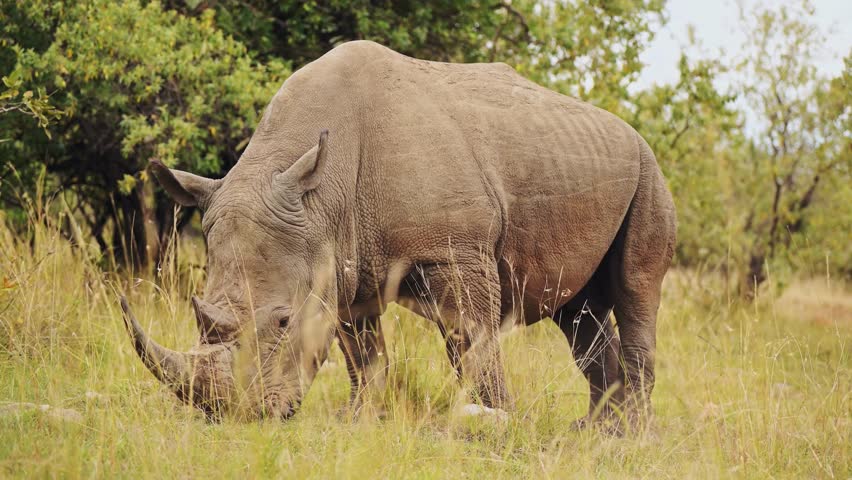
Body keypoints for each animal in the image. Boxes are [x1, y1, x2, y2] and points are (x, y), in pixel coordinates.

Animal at [120, 41, 676, 427]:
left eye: (282, 321)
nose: (236, 417)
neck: (320, 192)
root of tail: (628, 128)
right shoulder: (339, 261)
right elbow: (362, 353)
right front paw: (360, 420)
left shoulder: (454, 252)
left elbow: (472, 339)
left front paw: (500, 422)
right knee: (577, 313)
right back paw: (594, 430)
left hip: (649, 171)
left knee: (635, 290)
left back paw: (630, 435)